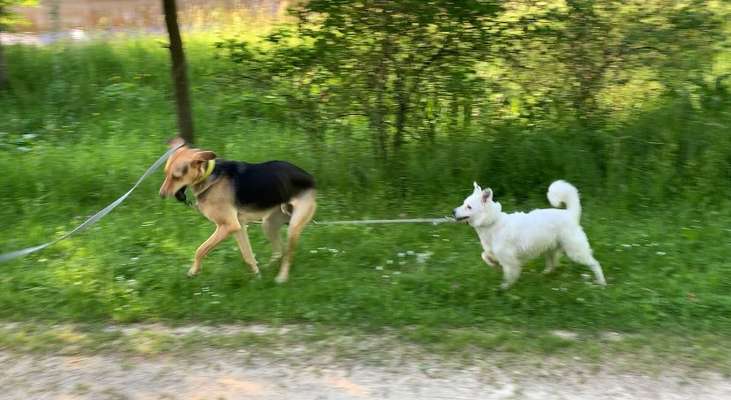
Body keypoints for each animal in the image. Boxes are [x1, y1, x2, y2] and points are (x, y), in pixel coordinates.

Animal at [162, 139, 316, 282]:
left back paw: (282, 277)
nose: (161, 194)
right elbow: (247, 254)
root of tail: (310, 178)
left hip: (293, 227)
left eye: (176, 176)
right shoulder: (238, 226)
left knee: (288, 254)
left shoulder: (228, 225)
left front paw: (193, 271)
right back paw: (270, 267)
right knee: (280, 250)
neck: (210, 175)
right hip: (268, 224)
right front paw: (257, 276)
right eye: (166, 173)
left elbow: (200, 250)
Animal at [454, 180, 608, 290]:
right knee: (552, 264)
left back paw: (601, 282)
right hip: (550, 249)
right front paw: (493, 263)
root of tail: (570, 214)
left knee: (595, 263)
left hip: (575, 251)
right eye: (463, 203)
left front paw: (504, 288)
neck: (493, 223)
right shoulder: (495, 252)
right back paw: (545, 274)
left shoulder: (510, 260)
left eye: (469, 207)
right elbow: (485, 255)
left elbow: (509, 275)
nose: (453, 211)